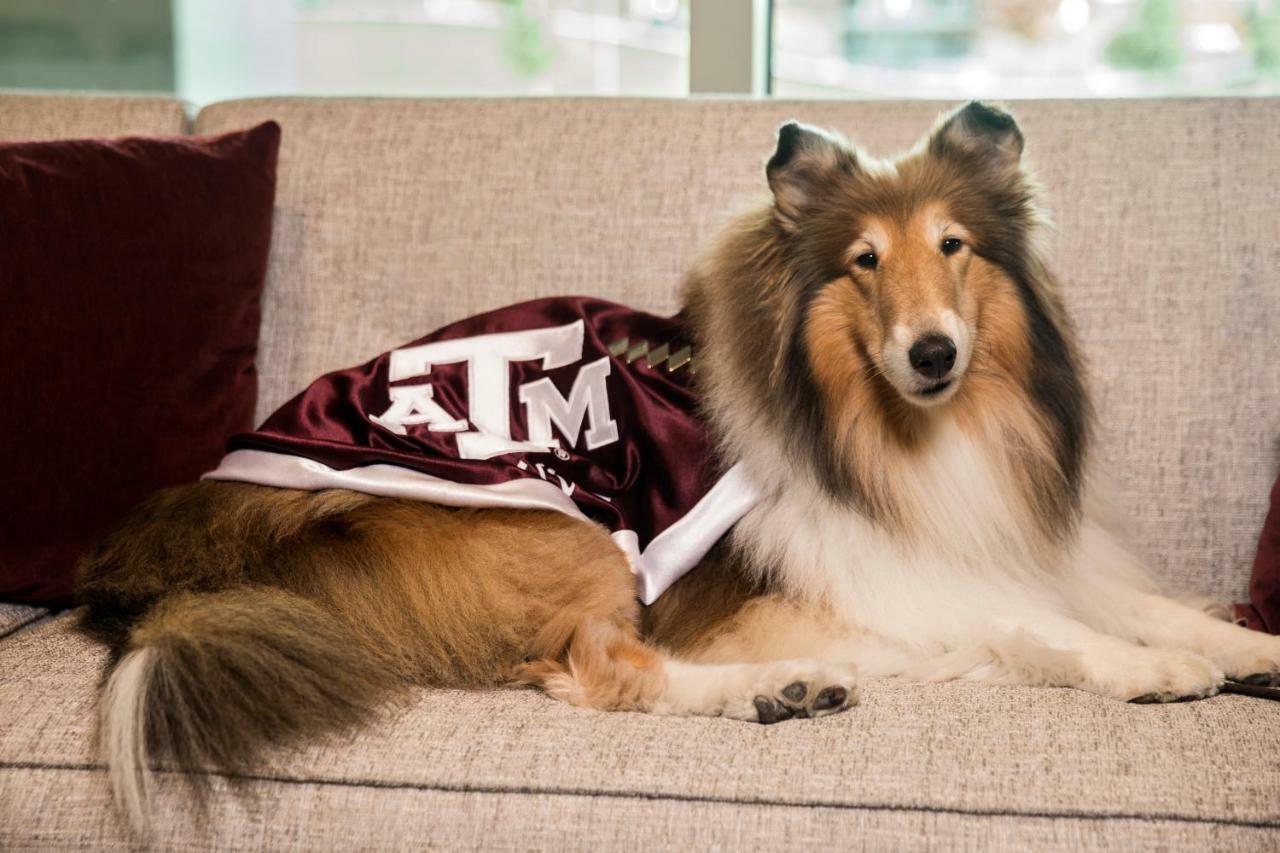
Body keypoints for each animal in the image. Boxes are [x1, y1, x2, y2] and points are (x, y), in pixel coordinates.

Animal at [82, 99, 1280, 824]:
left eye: (953, 245)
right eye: (862, 262)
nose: (932, 353)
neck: (901, 436)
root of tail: (194, 546)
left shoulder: (1021, 543)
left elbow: (1130, 601)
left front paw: (1238, 645)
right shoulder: (878, 580)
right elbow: (1035, 626)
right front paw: (1151, 668)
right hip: (561, 530)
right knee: (603, 670)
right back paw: (775, 687)